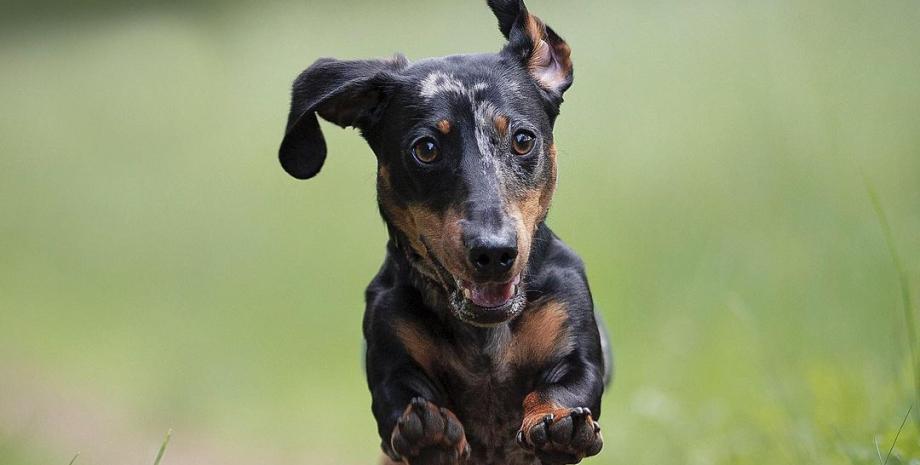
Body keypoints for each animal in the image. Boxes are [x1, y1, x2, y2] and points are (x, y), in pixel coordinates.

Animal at [276, 1, 616, 462]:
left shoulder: (576, 342)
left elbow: (567, 385)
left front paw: (557, 422)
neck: (484, 336)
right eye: (426, 149)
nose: (494, 253)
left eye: (523, 139)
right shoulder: (391, 355)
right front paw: (429, 430)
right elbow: (402, 395)